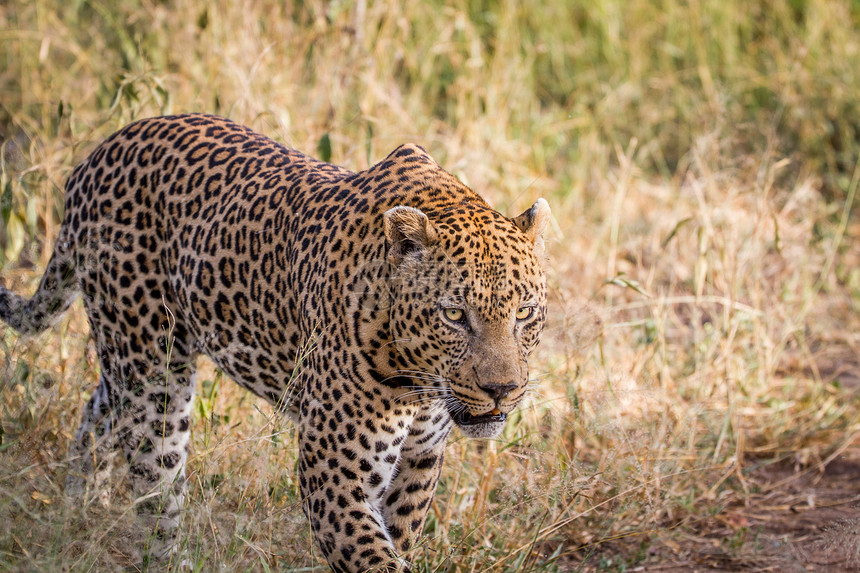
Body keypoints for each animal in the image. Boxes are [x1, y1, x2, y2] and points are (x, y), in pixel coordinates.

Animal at [0, 114, 548, 568]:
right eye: (455, 315)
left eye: (524, 313)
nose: (502, 390)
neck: (418, 381)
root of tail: (92, 158)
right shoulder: (335, 471)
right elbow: (374, 557)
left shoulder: (418, 463)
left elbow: (399, 541)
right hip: (151, 372)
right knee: (154, 480)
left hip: (134, 354)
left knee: (98, 411)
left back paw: (78, 506)